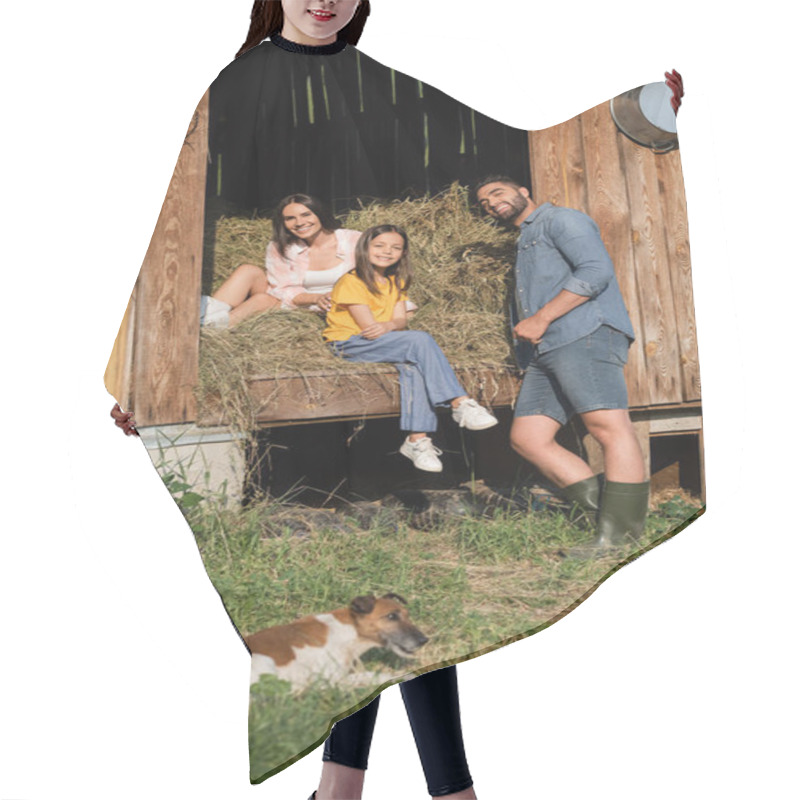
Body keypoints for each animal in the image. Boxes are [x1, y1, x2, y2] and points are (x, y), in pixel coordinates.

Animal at [247, 592, 432, 692]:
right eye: (392, 616)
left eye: (408, 616)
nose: (424, 640)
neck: (350, 631)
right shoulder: (332, 678)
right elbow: (373, 675)